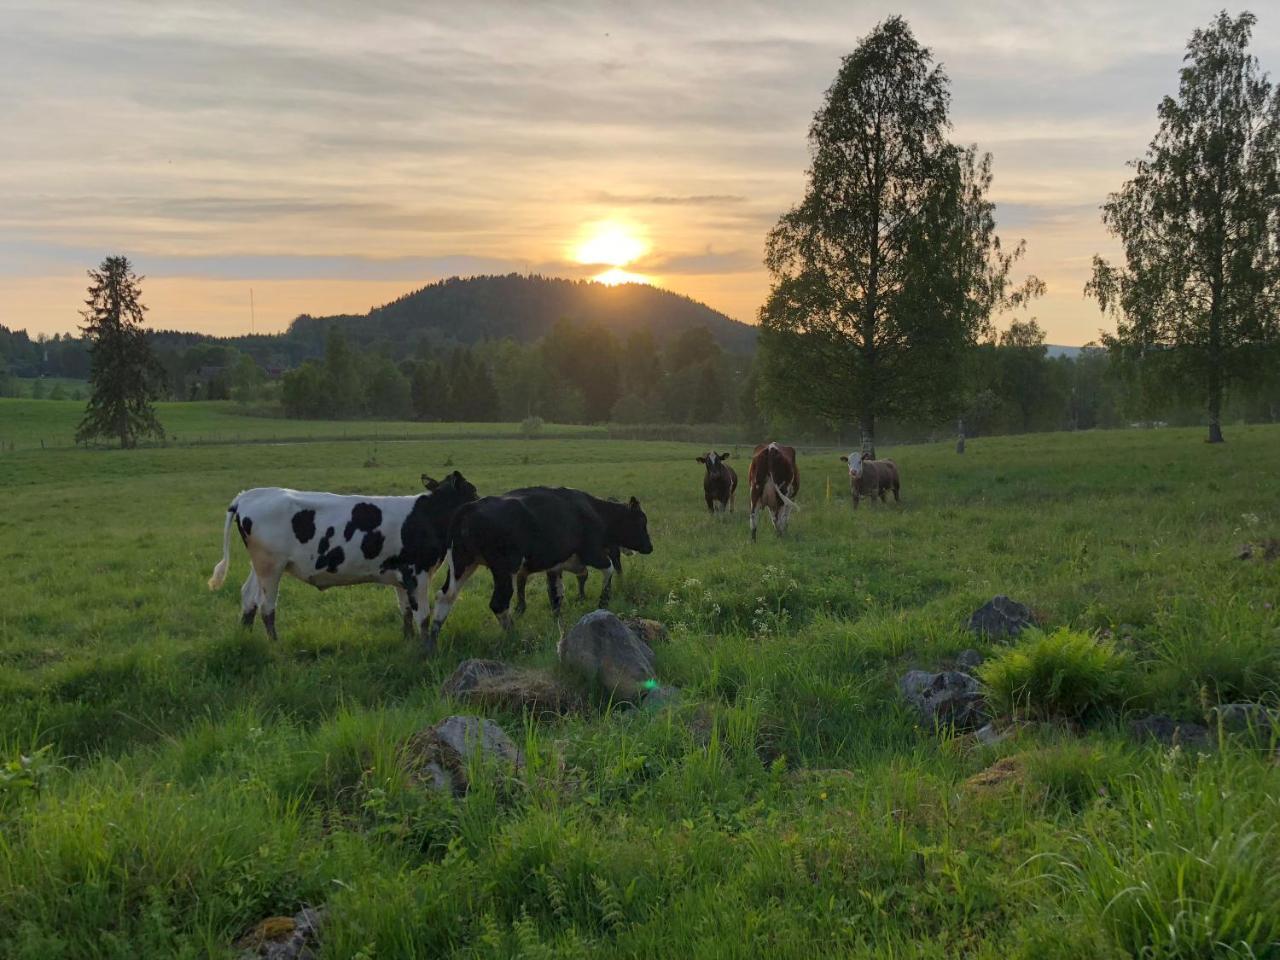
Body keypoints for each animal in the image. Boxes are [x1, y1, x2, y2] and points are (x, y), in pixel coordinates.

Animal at [209, 471, 481, 655]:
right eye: (472, 490)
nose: (482, 502)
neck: (427, 516)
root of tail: (248, 495)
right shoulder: (418, 574)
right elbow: (422, 616)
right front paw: (424, 650)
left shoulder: (402, 576)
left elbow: (405, 612)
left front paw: (409, 642)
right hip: (271, 566)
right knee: (266, 607)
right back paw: (276, 646)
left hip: (261, 566)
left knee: (248, 598)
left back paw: (245, 639)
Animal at [430, 488, 655, 647]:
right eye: (641, 521)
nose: (650, 547)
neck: (594, 511)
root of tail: (469, 508)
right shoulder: (591, 553)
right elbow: (608, 570)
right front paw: (604, 599)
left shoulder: (556, 566)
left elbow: (556, 594)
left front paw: (557, 620)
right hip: (504, 569)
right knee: (499, 603)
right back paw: (514, 636)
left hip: (461, 564)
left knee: (445, 596)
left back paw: (430, 644)